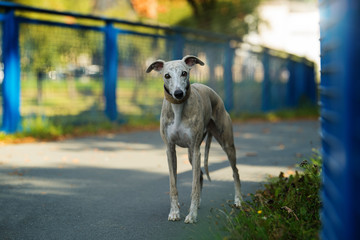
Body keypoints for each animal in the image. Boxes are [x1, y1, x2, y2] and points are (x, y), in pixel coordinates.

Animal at [146, 54, 242, 223]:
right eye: (167, 75)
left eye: (184, 73)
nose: (178, 93)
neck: (178, 108)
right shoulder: (170, 150)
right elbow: (173, 185)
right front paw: (174, 212)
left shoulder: (197, 150)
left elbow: (194, 187)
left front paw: (191, 215)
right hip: (191, 154)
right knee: (201, 175)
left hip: (226, 144)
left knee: (235, 172)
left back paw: (238, 201)